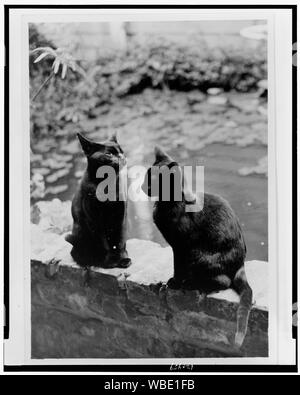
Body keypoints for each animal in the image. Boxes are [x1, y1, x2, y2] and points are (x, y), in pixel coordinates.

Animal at [65, 133, 131, 270]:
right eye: (109, 154)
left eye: (121, 151)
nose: (122, 156)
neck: (108, 184)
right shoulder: (95, 220)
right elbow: (104, 243)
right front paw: (110, 262)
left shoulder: (121, 215)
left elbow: (120, 240)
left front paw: (123, 259)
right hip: (79, 232)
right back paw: (90, 262)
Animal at [142, 147, 253, 348]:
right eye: (147, 176)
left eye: (153, 179)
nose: (141, 186)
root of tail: (240, 265)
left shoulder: (180, 246)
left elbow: (178, 266)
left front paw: (174, 282)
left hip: (198, 256)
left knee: (224, 281)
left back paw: (193, 285)